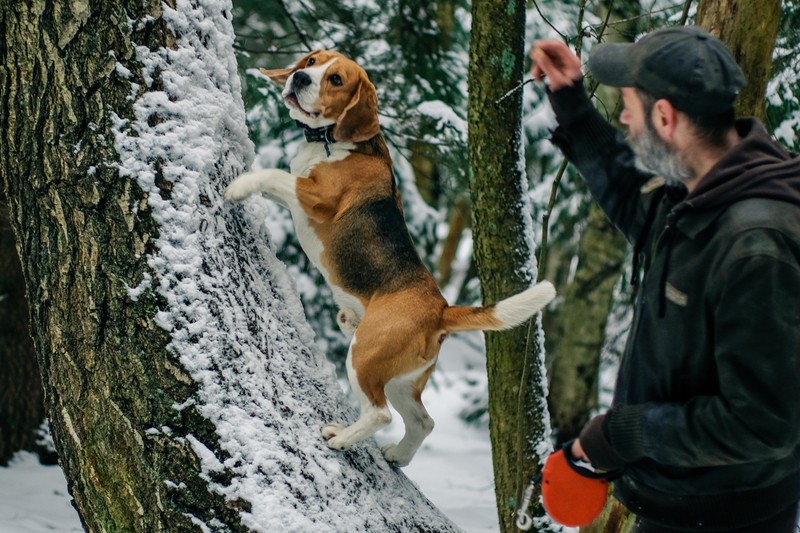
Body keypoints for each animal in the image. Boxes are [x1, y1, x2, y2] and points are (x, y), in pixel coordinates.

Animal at [222, 50, 552, 466]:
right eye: (312, 61)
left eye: (335, 79)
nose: (299, 78)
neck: (331, 141)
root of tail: (440, 308)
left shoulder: (315, 197)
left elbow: (273, 174)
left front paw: (239, 185)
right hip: (401, 379)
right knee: (423, 421)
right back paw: (398, 454)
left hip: (364, 356)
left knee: (380, 414)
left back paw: (341, 438)